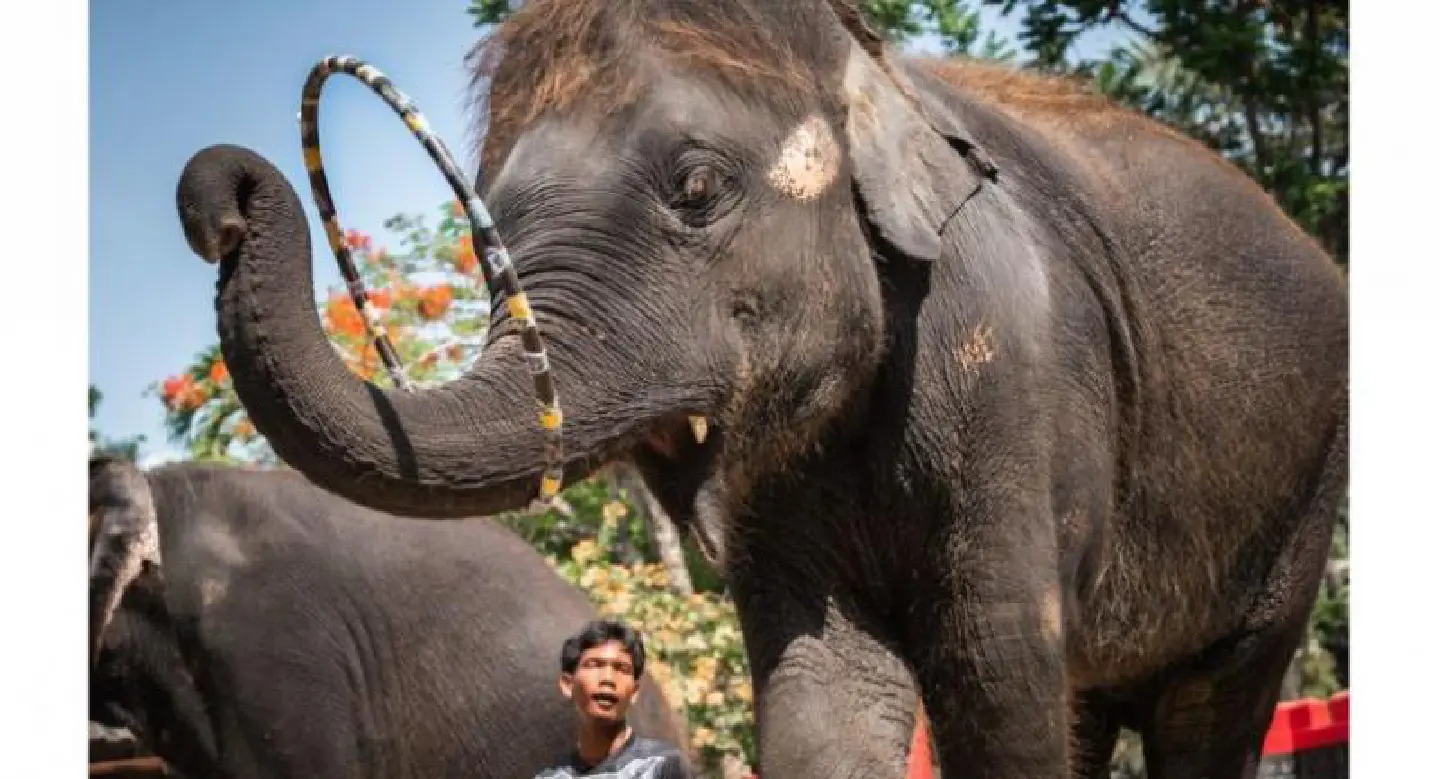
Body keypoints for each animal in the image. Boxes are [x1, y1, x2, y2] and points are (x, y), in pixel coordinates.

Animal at [173, 0, 1349, 776]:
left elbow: (997, 675)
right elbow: (822, 691)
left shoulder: (1015, 362)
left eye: (696, 188)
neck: (863, 67)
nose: (219, 198)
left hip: (1303, 491)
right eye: (483, 234)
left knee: (1206, 706)